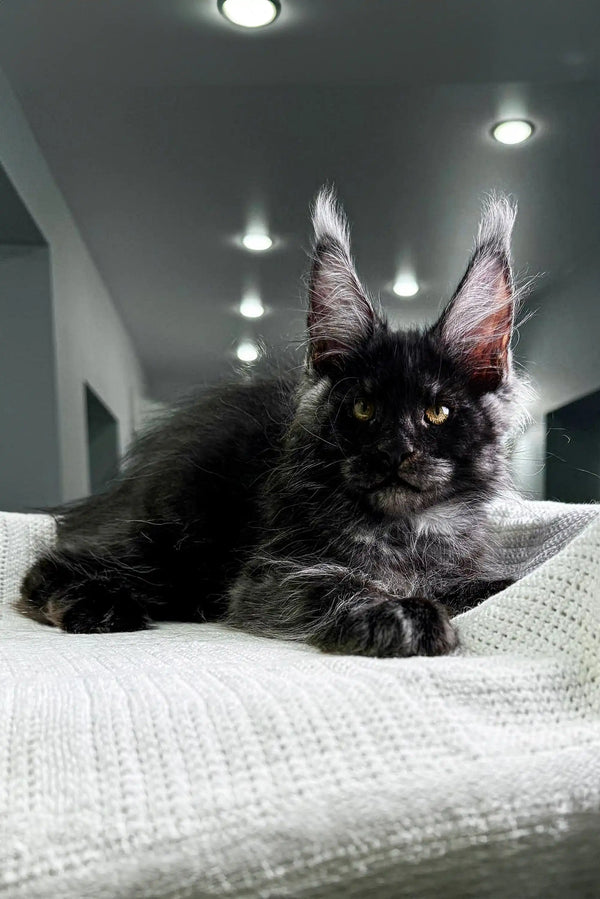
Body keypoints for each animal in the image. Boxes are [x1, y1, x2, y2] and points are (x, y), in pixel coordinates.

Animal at [18, 190, 528, 656]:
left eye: (437, 412)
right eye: (363, 408)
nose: (394, 451)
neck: (403, 533)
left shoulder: (458, 566)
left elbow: (496, 584)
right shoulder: (271, 575)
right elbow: (336, 583)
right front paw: (399, 614)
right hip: (166, 533)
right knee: (48, 565)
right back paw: (98, 606)